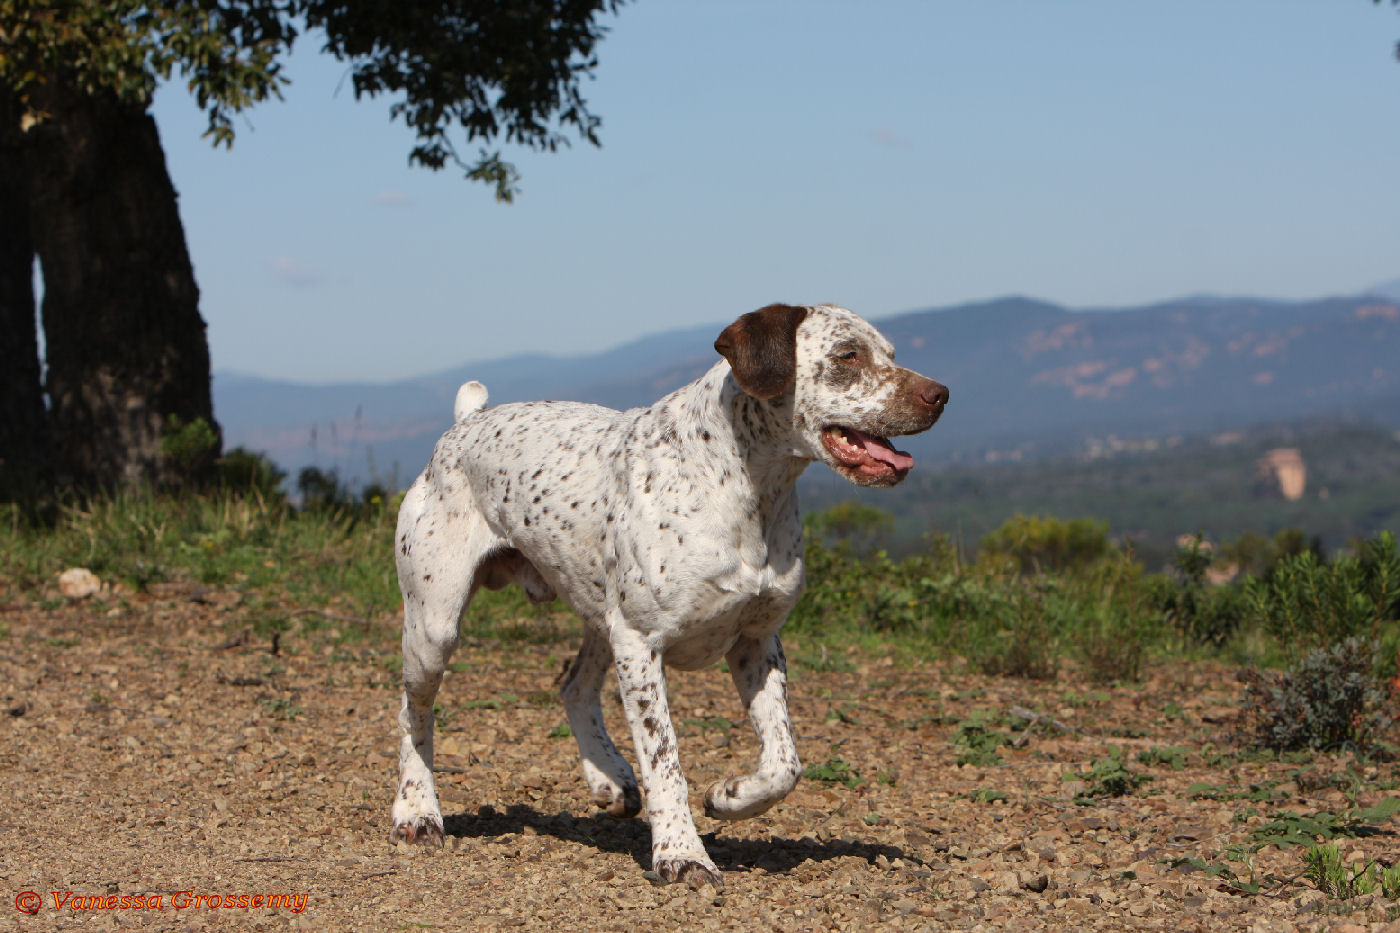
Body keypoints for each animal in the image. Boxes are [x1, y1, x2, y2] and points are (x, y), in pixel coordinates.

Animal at [389, 303, 946, 885]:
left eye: (891, 353)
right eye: (847, 355)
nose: (941, 395)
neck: (743, 486)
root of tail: (463, 424)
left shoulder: (756, 641)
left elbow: (784, 765)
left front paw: (729, 796)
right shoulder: (641, 644)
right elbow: (665, 761)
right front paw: (681, 853)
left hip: (599, 616)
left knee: (573, 686)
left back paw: (609, 777)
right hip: (436, 627)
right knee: (412, 714)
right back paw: (417, 812)